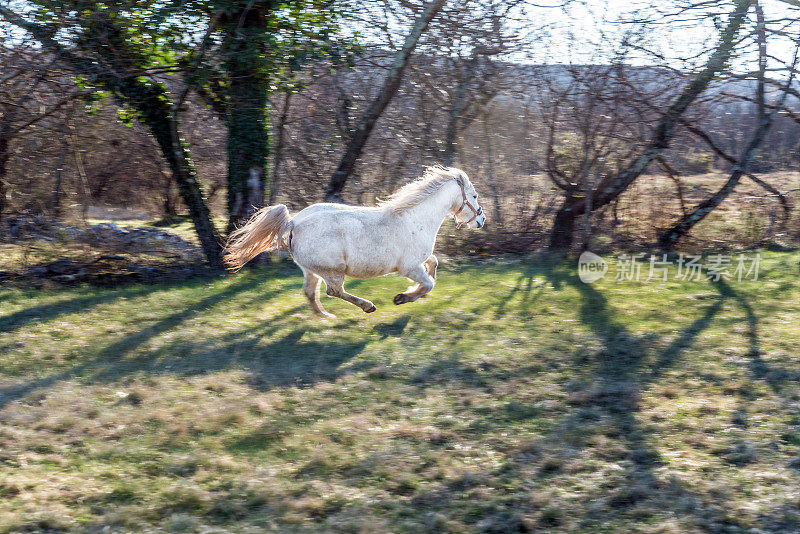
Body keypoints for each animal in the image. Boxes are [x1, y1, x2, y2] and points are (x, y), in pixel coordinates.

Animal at [222, 168, 484, 316]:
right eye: (474, 195)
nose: (481, 220)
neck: (414, 218)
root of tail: (293, 223)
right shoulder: (409, 267)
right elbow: (429, 283)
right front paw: (403, 297)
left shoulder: (418, 261)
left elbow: (434, 264)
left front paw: (411, 293)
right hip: (332, 271)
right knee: (334, 291)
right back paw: (367, 306)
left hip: (310, 270)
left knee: (310, 292)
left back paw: (326, 318)